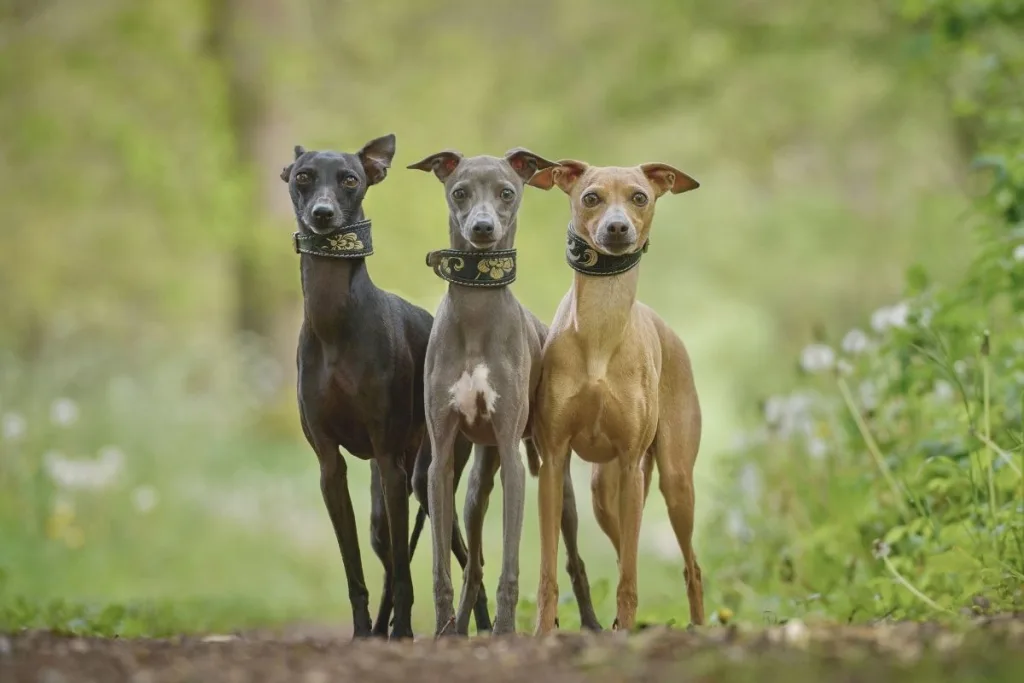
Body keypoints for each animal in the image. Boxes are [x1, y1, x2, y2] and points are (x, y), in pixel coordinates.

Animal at [278, 135, 489, 643]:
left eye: (350, 180)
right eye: (302, 177)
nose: (322, 215)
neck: (334, 321)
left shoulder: (392, 461)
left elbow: (406, 571)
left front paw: (403, 631)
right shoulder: (330, 466)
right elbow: (357, 566)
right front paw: (363, 630)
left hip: (428, 476)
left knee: (464, 557)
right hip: (389, 492)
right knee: (392, 553)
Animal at [405, 148, 598, 634]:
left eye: (507, 192)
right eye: (460, 192)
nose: (482, 228)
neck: (476, 311)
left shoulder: (513, 457)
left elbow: (511, 564)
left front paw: (507, 628)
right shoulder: (440, 462)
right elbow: (442, 566)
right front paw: (443, 629)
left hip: (558, 489)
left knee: (574, 560)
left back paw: (590, 623)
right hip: (476, 482)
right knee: (473, 562)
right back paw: (466, 626)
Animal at [528, 157, 704, 634]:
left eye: (639, 196)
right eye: (591, 197)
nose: (617, 228)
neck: (601, 333)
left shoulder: (630, 461)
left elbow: (629, 577)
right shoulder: (553, 462)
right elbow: (549, 570)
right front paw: (543, 630)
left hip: (672, 480)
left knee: (691, 567)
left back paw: (700, 626)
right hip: (605, 494)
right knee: (629, 545)